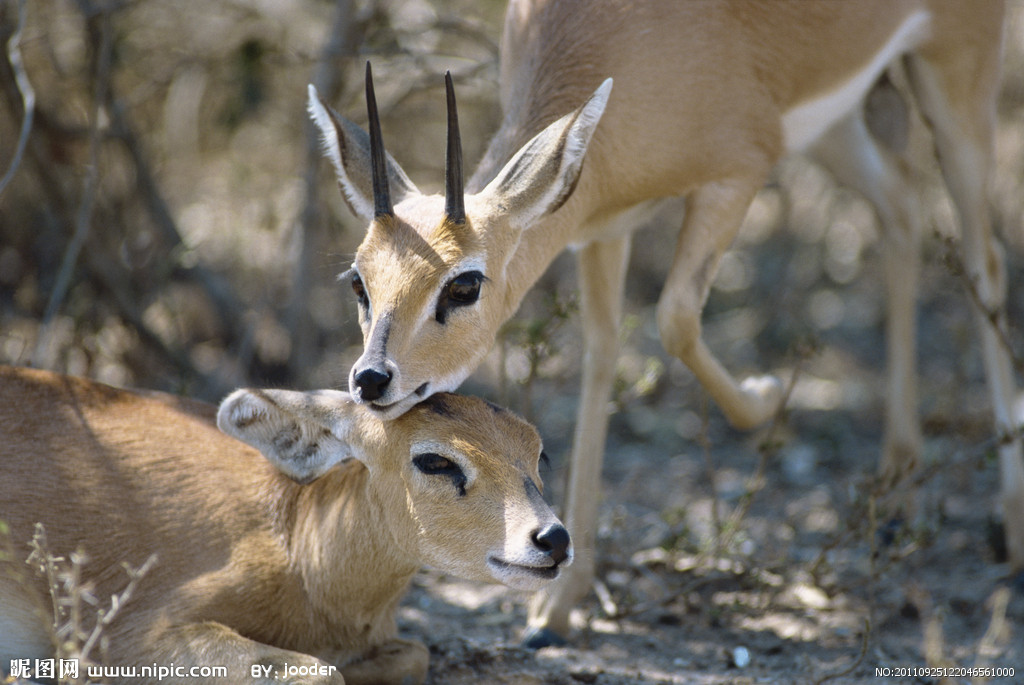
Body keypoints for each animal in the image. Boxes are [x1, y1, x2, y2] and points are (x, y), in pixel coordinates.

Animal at [0, 365, 570, 684]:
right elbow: (321, 674)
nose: (553, 539)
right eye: (434, 459)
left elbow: (412, 654)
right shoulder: (126, 637)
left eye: (538, 453)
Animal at [306, 0, 1023, 646]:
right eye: (359, 281)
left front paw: (768, 393)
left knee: (983, 258)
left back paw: (1009, 534)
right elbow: (600, 360)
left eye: (465, 283)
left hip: (955, 78)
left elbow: (676, 317)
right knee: (900, 209)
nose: (372, 379)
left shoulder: (740, 172)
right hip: (839, 122)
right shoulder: (600, 226)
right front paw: (556, 609)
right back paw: (898, 493)